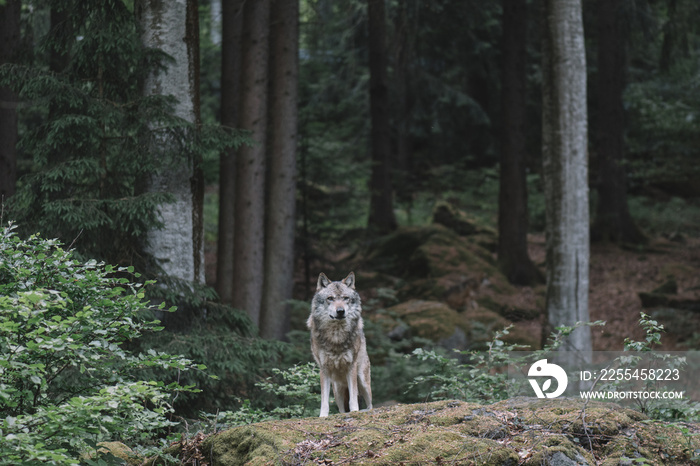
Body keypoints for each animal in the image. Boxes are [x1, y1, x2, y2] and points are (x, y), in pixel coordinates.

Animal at [306, 272, 372, 416]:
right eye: (330, 298)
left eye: (345, 298)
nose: (340, 311)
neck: (336, 335)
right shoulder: (324, 369)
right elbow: (324, 401)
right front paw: (323, 416)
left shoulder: (351, 366)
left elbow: (353, 399)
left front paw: (355, 411)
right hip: (337, 391)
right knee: (341, 410)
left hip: (363, 381)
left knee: (370, 405)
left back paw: (364, 410)